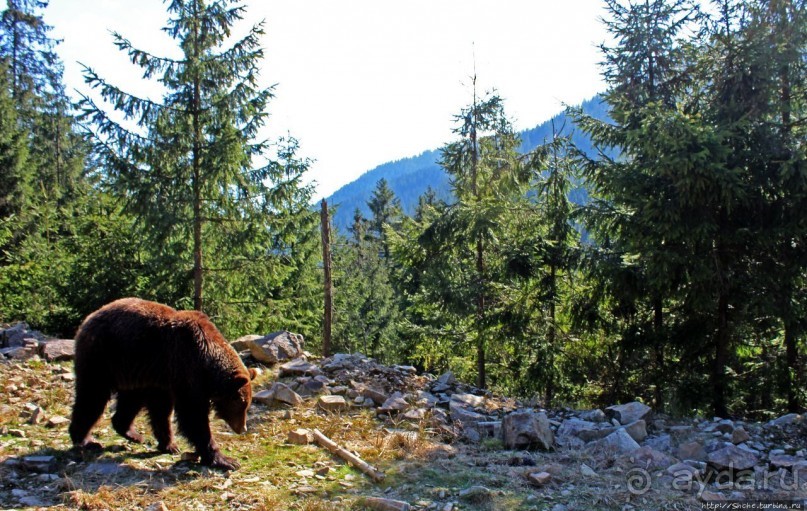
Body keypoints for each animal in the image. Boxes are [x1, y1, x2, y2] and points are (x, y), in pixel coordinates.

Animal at [68, 298, 256, 470]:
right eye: (241, 405)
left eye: (246, 405)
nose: (243, 428)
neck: (206, 362)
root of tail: (88, 318)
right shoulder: (184, 367)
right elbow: (192, 415)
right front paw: (224, 460)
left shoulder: (163, 377)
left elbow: (161, 411)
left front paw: (170, 445)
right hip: (102, 357)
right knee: (92, 396)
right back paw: (85, 440)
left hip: (132, 370)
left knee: (130, 400)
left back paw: (133, 433)